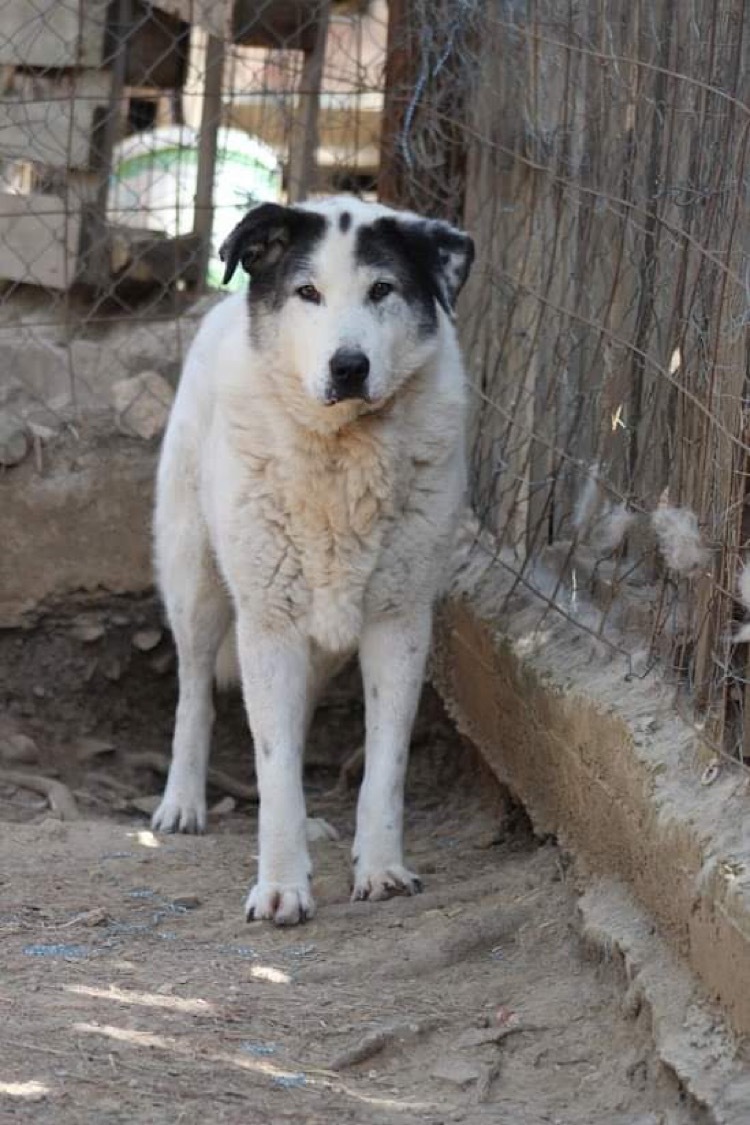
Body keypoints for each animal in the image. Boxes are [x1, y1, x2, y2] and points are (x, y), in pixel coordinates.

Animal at [149, 198, 472, 927]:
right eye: (307, 293)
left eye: (382, 290)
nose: (349, 365)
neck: (340, 456)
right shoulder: (267, 623)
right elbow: (270, 764)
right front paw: (279, 884)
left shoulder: (400, 624)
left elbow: (385, 766)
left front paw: (380, 868)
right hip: (196, 579)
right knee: (193, 692)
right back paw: (181, 802)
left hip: (320, 644)